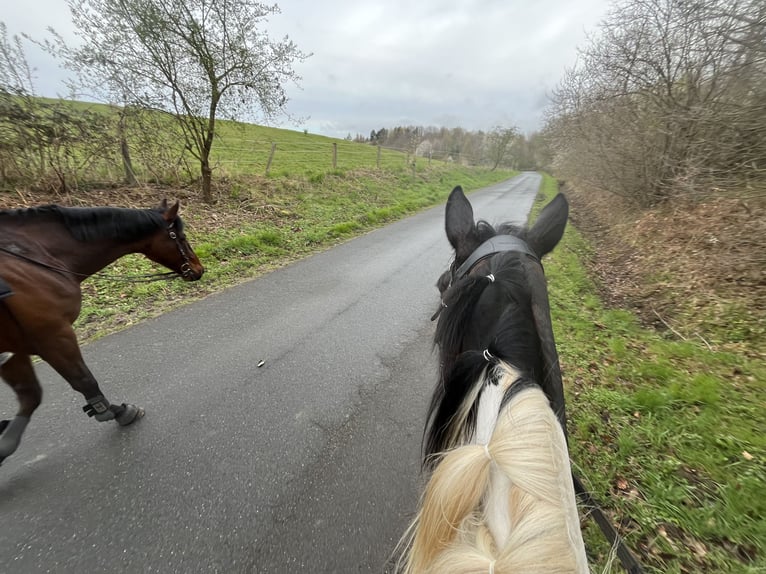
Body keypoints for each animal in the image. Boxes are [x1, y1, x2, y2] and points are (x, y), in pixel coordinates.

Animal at [0, 199, 204, 466]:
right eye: (181, 237)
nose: (199, 269)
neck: (36, 257)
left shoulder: (14, 348)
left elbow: (30, 396)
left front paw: (4, 443)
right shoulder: (54, 334)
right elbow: (84, 381)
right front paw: (116, 411)